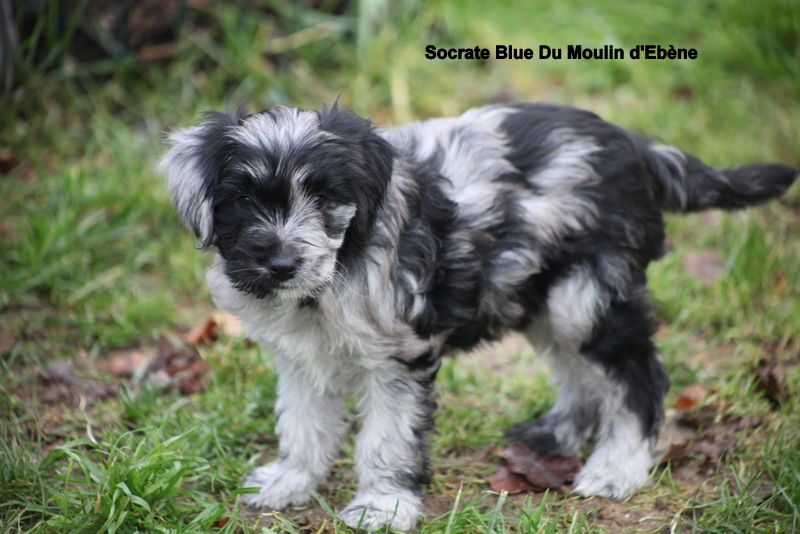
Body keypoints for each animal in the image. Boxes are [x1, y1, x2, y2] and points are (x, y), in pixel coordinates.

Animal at [159, 102, 796, 530]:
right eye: (244, 198)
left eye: (323, 196)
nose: (283, 262)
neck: (338, 268)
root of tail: (636, 146)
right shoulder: (302, 358)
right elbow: (302, 425)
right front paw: (290, 481)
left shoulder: (398, 358)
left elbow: (388, 438)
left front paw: (383, 506)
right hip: (541, 297)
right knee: (579, 372)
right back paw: (556, 435)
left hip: (586, 296)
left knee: (639, 377)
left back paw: (616, 467)